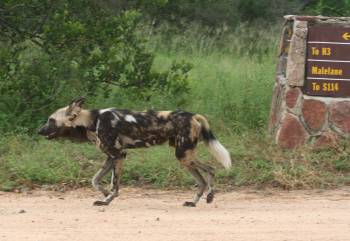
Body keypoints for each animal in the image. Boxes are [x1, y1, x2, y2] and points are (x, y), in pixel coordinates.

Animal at [38, 97, 231, 206]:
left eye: (51, 120)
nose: (38, 131)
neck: (93, 121)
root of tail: (193, 115)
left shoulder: (118, 155)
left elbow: (114, 184)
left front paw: (107, 200)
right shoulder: (111, 157)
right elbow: (95, 180)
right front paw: (105, 194)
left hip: (183, 155)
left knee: (211, 170)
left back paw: (209, 196)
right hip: (184, 157)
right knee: (202, 180)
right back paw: (194, 202)